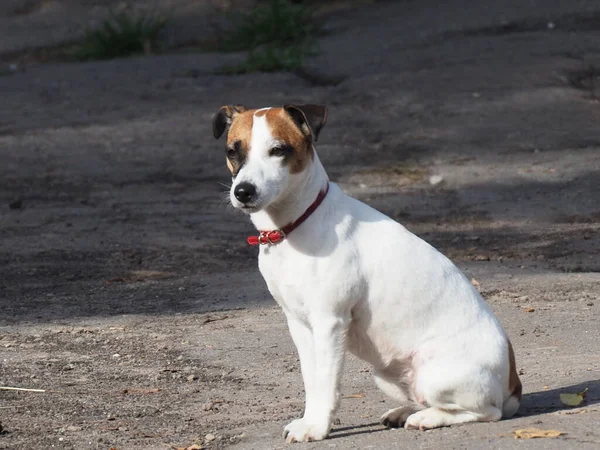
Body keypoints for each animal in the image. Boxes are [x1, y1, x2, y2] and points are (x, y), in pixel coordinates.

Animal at [212, 104, 520, 442]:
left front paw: (317, 427)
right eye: (232, 151)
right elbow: (312, 381)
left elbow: (327, 384)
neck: (296, 225)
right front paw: (310, 421)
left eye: (278, 150)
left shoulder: (330, 324)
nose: (243, 192)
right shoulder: (299, 325)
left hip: (437, 376)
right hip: (387, 375)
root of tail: (512, 383)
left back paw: (426, 418)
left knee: (486, 411)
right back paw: (407, 412)